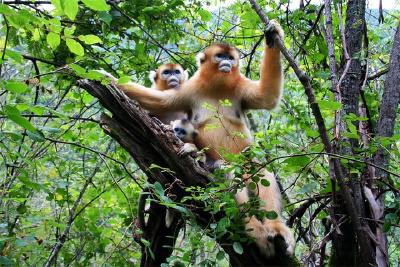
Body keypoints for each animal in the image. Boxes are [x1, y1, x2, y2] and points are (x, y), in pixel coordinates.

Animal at [108, 21, 296, 258]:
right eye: (219, 56)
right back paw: (256, 232)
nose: (227, 63)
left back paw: (275, 228)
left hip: (243, 160)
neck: (218, 85)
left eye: (230, 57)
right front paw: (102, 77)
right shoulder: (189, 89)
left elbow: (267, 96)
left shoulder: (239, 86)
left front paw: (272, 34)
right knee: (227, 172)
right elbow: (160, 102)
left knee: (257, 169)